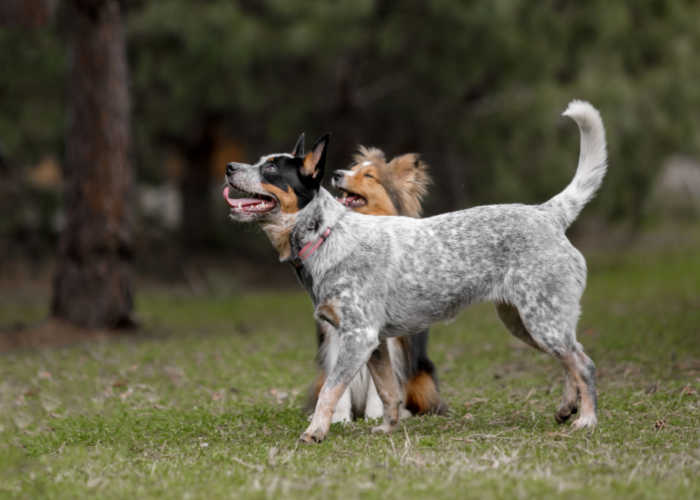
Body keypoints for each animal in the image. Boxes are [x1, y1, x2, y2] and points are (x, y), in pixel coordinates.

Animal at [224, 99, 608, 444]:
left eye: (271, 169)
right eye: (258, 162)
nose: (228, 166)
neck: (327, 234)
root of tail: (548, 213)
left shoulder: (359, 337)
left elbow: (330, 391)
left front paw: (315, 432)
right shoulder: (376, 343)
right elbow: (388, 392)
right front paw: (387, 428)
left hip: (542, 321)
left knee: (584, 364)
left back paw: (587, 420)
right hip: (526, 323)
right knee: (569, 361)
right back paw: (566, 408)